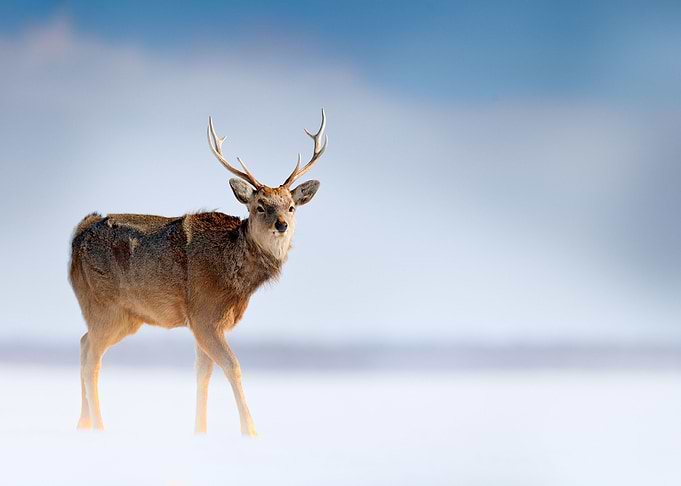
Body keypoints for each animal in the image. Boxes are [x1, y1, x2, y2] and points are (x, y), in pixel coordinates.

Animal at [69, 110, 327, 436]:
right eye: (259, 206)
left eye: (291, 206)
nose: (281, 224)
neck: (237, 279)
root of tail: (78, 233)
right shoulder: (204, 314)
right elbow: (233, 367)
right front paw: (250, 431)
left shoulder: (206, 322)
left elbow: (203, 374)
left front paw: (200, 431)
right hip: (104, 304)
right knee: (92, 360)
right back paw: (100, 427)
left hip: (125, 316)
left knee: (83, 343)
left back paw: (82, 423)